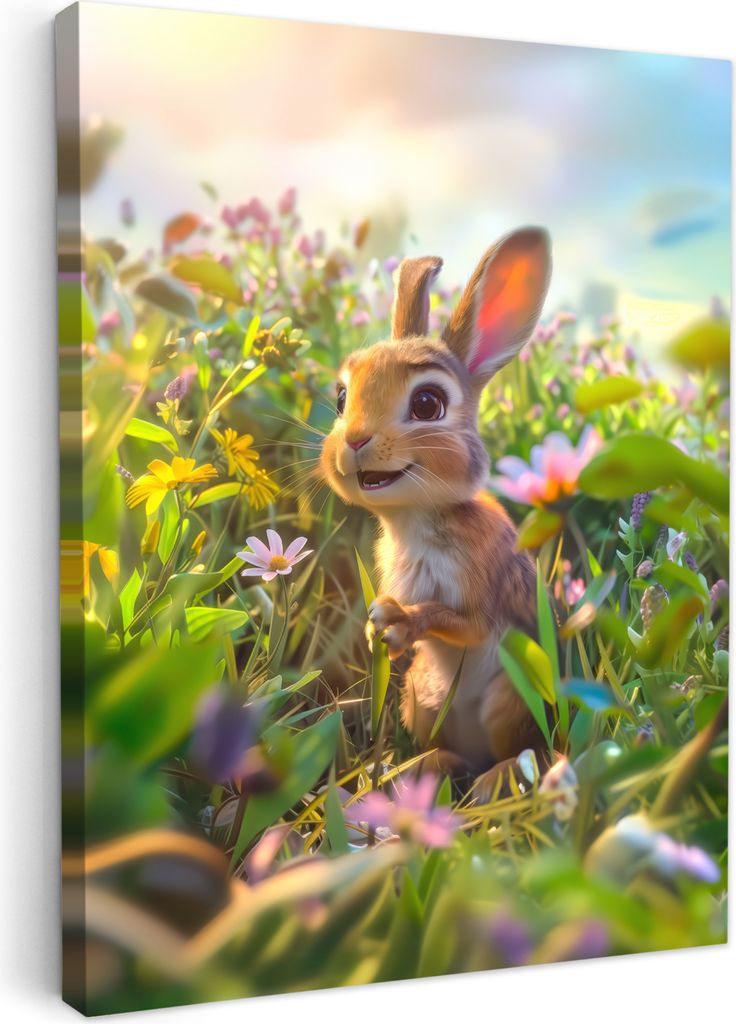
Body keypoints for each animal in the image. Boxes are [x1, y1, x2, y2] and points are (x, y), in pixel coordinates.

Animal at [321, 227, 553, 792]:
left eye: (427, 404)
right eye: (341, 399)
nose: (353, 442)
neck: (416, 518)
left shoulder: (480, 597)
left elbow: (460, 621)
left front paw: (398, 622)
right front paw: (375, 630)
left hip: (508, 698)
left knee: (518, 750)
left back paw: (496, 779)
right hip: (420, 699)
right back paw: (423, 771)